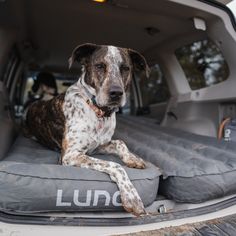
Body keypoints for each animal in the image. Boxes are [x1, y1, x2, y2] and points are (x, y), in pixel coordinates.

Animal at [25, 43, 150, 217]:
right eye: (99, 66)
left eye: (125, 68)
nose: (116, 93)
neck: (98, 112)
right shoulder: (70, 155)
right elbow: (115, 165)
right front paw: (131, 197)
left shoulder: (98, 146)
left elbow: (120, 142)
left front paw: (133, 158)